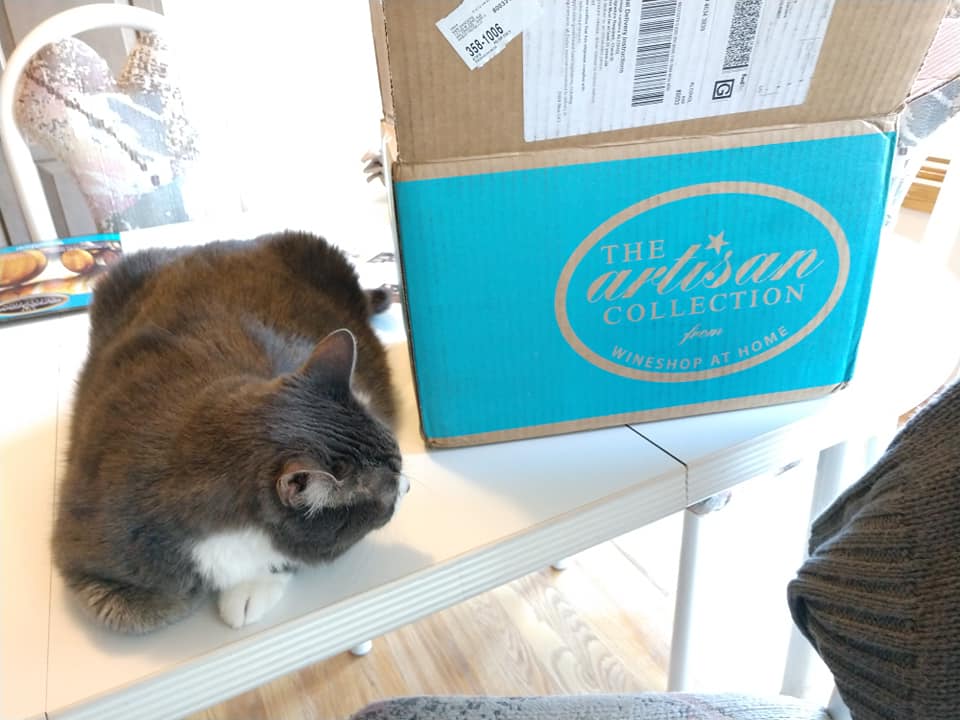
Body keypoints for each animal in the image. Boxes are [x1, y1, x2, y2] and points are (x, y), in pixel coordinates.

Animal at [53, 230, 406, 634]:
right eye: (389, 488)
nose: (407, 487)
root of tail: (211, 244)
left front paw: (249, 590)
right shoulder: (93, 546)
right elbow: (144, 608)